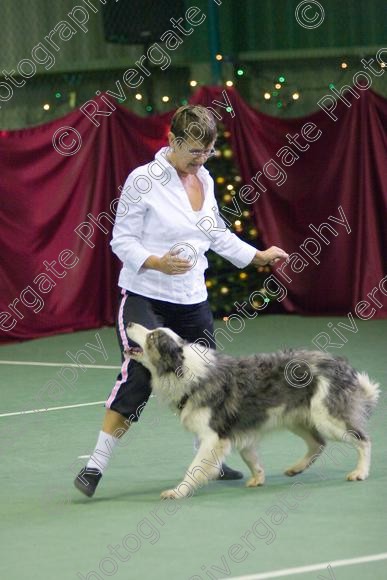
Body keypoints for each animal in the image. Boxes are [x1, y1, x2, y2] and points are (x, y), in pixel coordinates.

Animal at [126, 322, 380, 498]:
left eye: (151, 336)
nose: (128, 323)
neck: (184, 370)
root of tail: (342, 364)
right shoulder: (240, 432)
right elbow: (251, 458)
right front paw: (258, 477)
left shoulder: (213, 436)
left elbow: (194, 468)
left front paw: (178, 491)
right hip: (297, 417)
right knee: (318, 443)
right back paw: (296, 469)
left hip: (327, 417)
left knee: (363, 440)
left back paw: (360, 471)